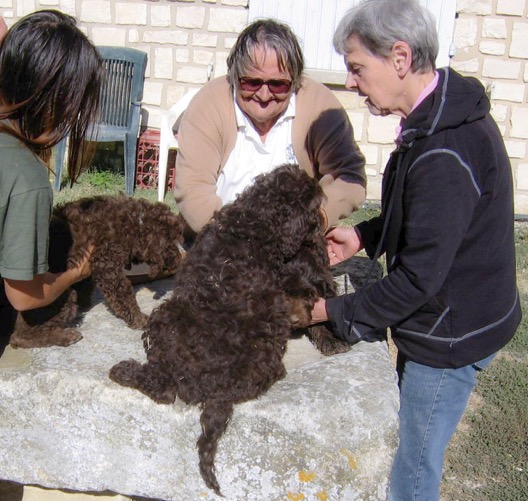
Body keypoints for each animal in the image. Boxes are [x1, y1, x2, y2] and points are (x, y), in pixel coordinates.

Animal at [10, 195, 185, 348]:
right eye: (172, 242)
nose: (179, 260)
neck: (135, 223)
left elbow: (86, 286)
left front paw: (85, 303)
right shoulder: (107, 266)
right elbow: (124, 296)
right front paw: (140, 320)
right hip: (58, 299)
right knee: (19, 337)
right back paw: (65, 336)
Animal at [109, 164, 348, 492]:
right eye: (314, 207)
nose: (321, 226)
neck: (252, 221)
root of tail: (223, 389)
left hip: (164, 318)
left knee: (165, 389)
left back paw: (124, 370)